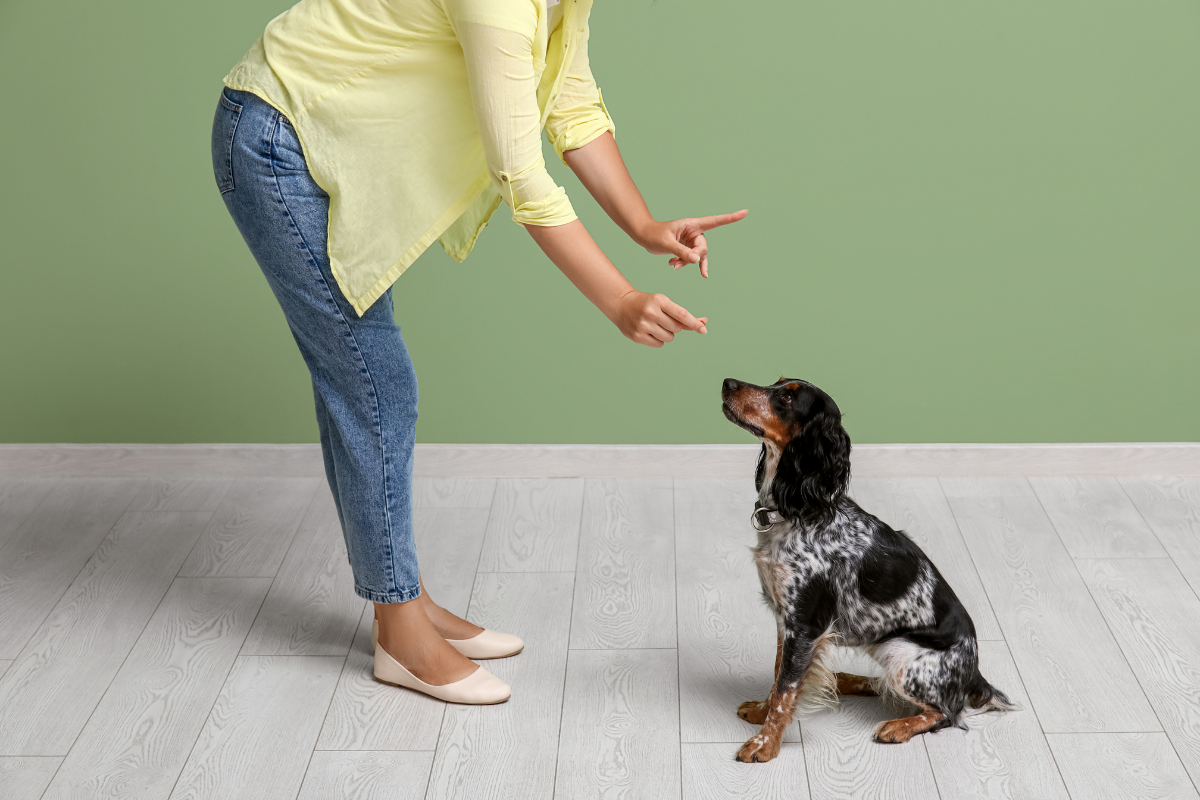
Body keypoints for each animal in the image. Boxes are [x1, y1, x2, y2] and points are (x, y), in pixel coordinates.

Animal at [720, 379, 1012, 767]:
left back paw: (897, 727)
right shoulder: (787, 621)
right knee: (883, 686)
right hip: (886, 646)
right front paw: (761, 712)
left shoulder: (805, 624)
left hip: (905, 656)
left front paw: (765, 744)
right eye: (777, 382)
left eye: (787, 397)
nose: (727, 383)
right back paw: (845, 680)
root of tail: (974, 673)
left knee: (947, 713)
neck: (800, 511)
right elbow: (778, 675)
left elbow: (786, 689)